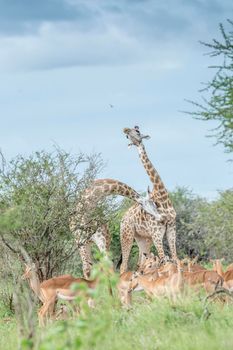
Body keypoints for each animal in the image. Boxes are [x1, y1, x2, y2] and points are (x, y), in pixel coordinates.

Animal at [119, 126, 177, 274]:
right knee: (123, 266)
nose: (125, 130)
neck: (163, 198)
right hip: (126, 235)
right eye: (127, 136)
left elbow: (175, 259)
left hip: (143, 238)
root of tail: (123, 218)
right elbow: (164, 260)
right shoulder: (157, 232)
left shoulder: (171, 228)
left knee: (140, 262)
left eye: (137, 131)